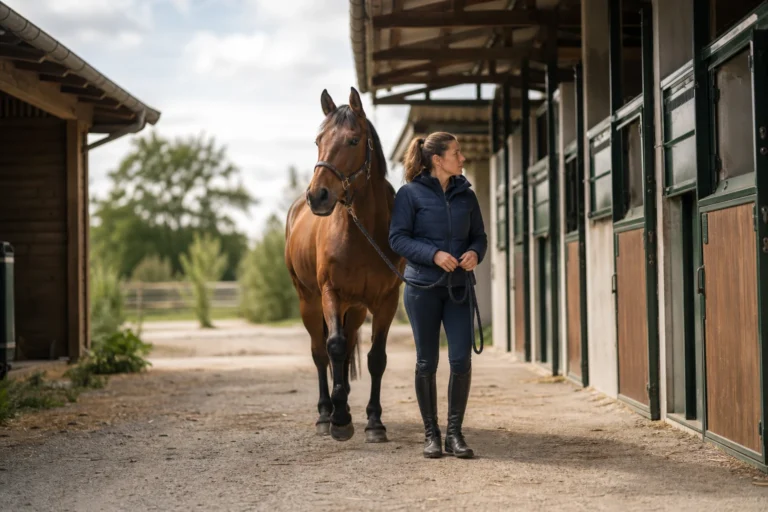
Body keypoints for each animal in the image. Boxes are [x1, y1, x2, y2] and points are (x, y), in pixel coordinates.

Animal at [284, 87, 404, 442]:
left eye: (353, 140)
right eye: (318, 140)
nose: (318, 196)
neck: (361, 231)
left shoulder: (386, 301)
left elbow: (376, 358)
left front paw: (374, 421)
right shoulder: (330, 294)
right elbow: (333, 348)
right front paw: (338, 419)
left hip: (356, 309)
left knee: (348, 345)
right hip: (309, 302)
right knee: (321, 352)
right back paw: (327, 413)